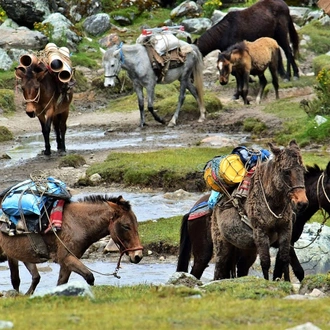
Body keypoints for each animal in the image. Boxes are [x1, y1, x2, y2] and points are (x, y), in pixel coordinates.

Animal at [0, 195, 144, 296]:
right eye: (126, 226)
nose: (138, 256)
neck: (77, 223)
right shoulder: (66, 258)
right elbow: (89, 277)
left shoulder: (67, 262)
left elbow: (61, 283)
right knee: (17, 280)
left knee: (34, 278)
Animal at [178, 162, 330, 282]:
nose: (301, 204)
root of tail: (191, 211)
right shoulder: (288, 242)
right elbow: (297, 271)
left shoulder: (285, 242)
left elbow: (280, 271)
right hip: (204, 252)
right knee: (197, 271)